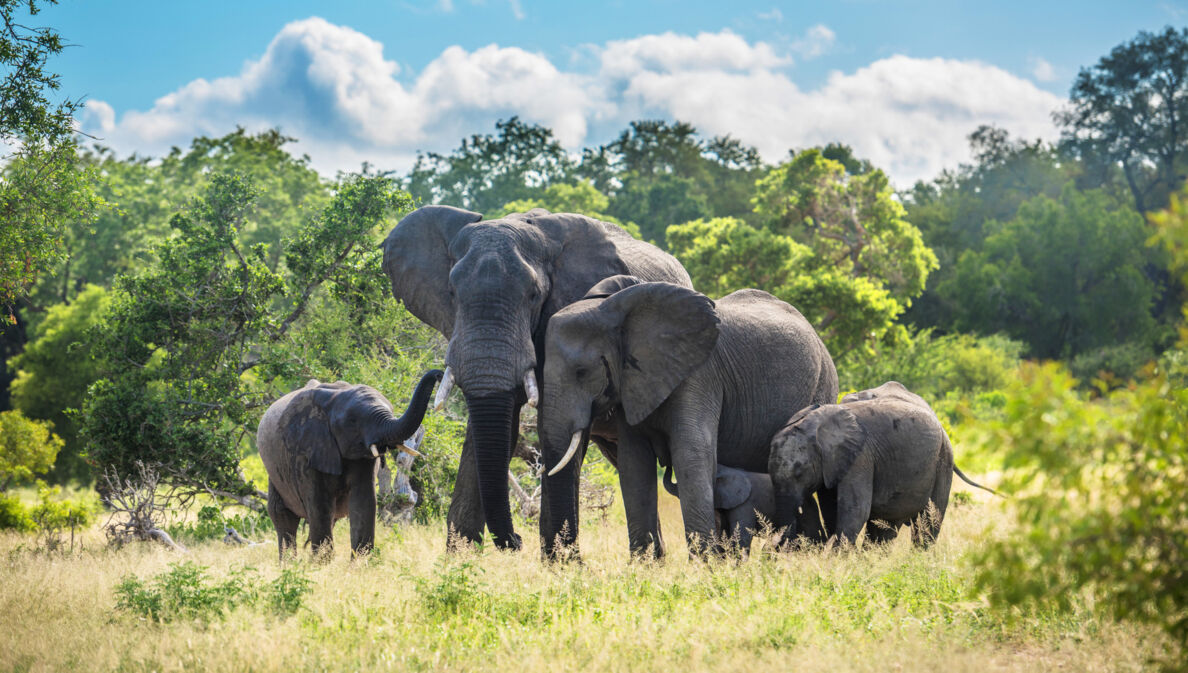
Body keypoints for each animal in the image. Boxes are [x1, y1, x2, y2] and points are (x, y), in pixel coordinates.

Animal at [257, 370, 444, 561]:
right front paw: (322, 565)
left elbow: (363, 501)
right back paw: (289, 564)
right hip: (275, 472)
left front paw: (360, 563)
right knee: (283, 515)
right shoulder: (305, 451)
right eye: (353, 421)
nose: (439, 374)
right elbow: (319, 505)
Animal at [380, 206, 693, 554]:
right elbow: (492, 430)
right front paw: (460, 559)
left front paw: (559, 561)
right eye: (451, 293)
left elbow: (551, 428)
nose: (517, 540)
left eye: (533, 295)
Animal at [539, 275, 836, 558]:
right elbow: (634, 463)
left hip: (824, 384)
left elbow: (691, 453)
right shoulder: (631, 383)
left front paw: (705, 564)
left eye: (582, 372)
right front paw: (644, 566)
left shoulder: (700, 374)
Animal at [769, 382, 993, 551]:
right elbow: (832, 509)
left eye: (800, 473)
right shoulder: (833, 465)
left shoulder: (861, 457)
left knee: (928, 521)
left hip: (943, 460)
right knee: (885, 528)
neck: (816, 422)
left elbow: (855, 511)